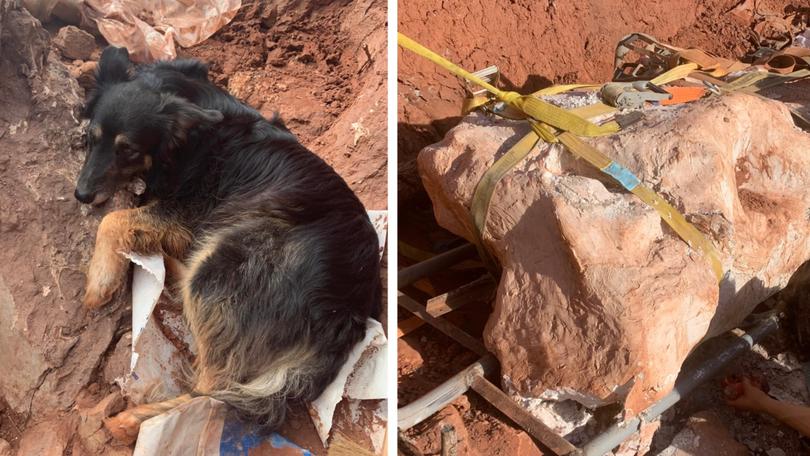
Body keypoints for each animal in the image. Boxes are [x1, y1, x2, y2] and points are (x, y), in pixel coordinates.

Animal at [74, 46, 380, 442]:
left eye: (128, 150)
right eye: (92, 137)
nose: (81, 194)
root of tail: (345, 315)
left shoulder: (183, 211)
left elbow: (111, 221)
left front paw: (100, 282)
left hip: (223, 261)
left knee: (212, 388)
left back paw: (131, 421)